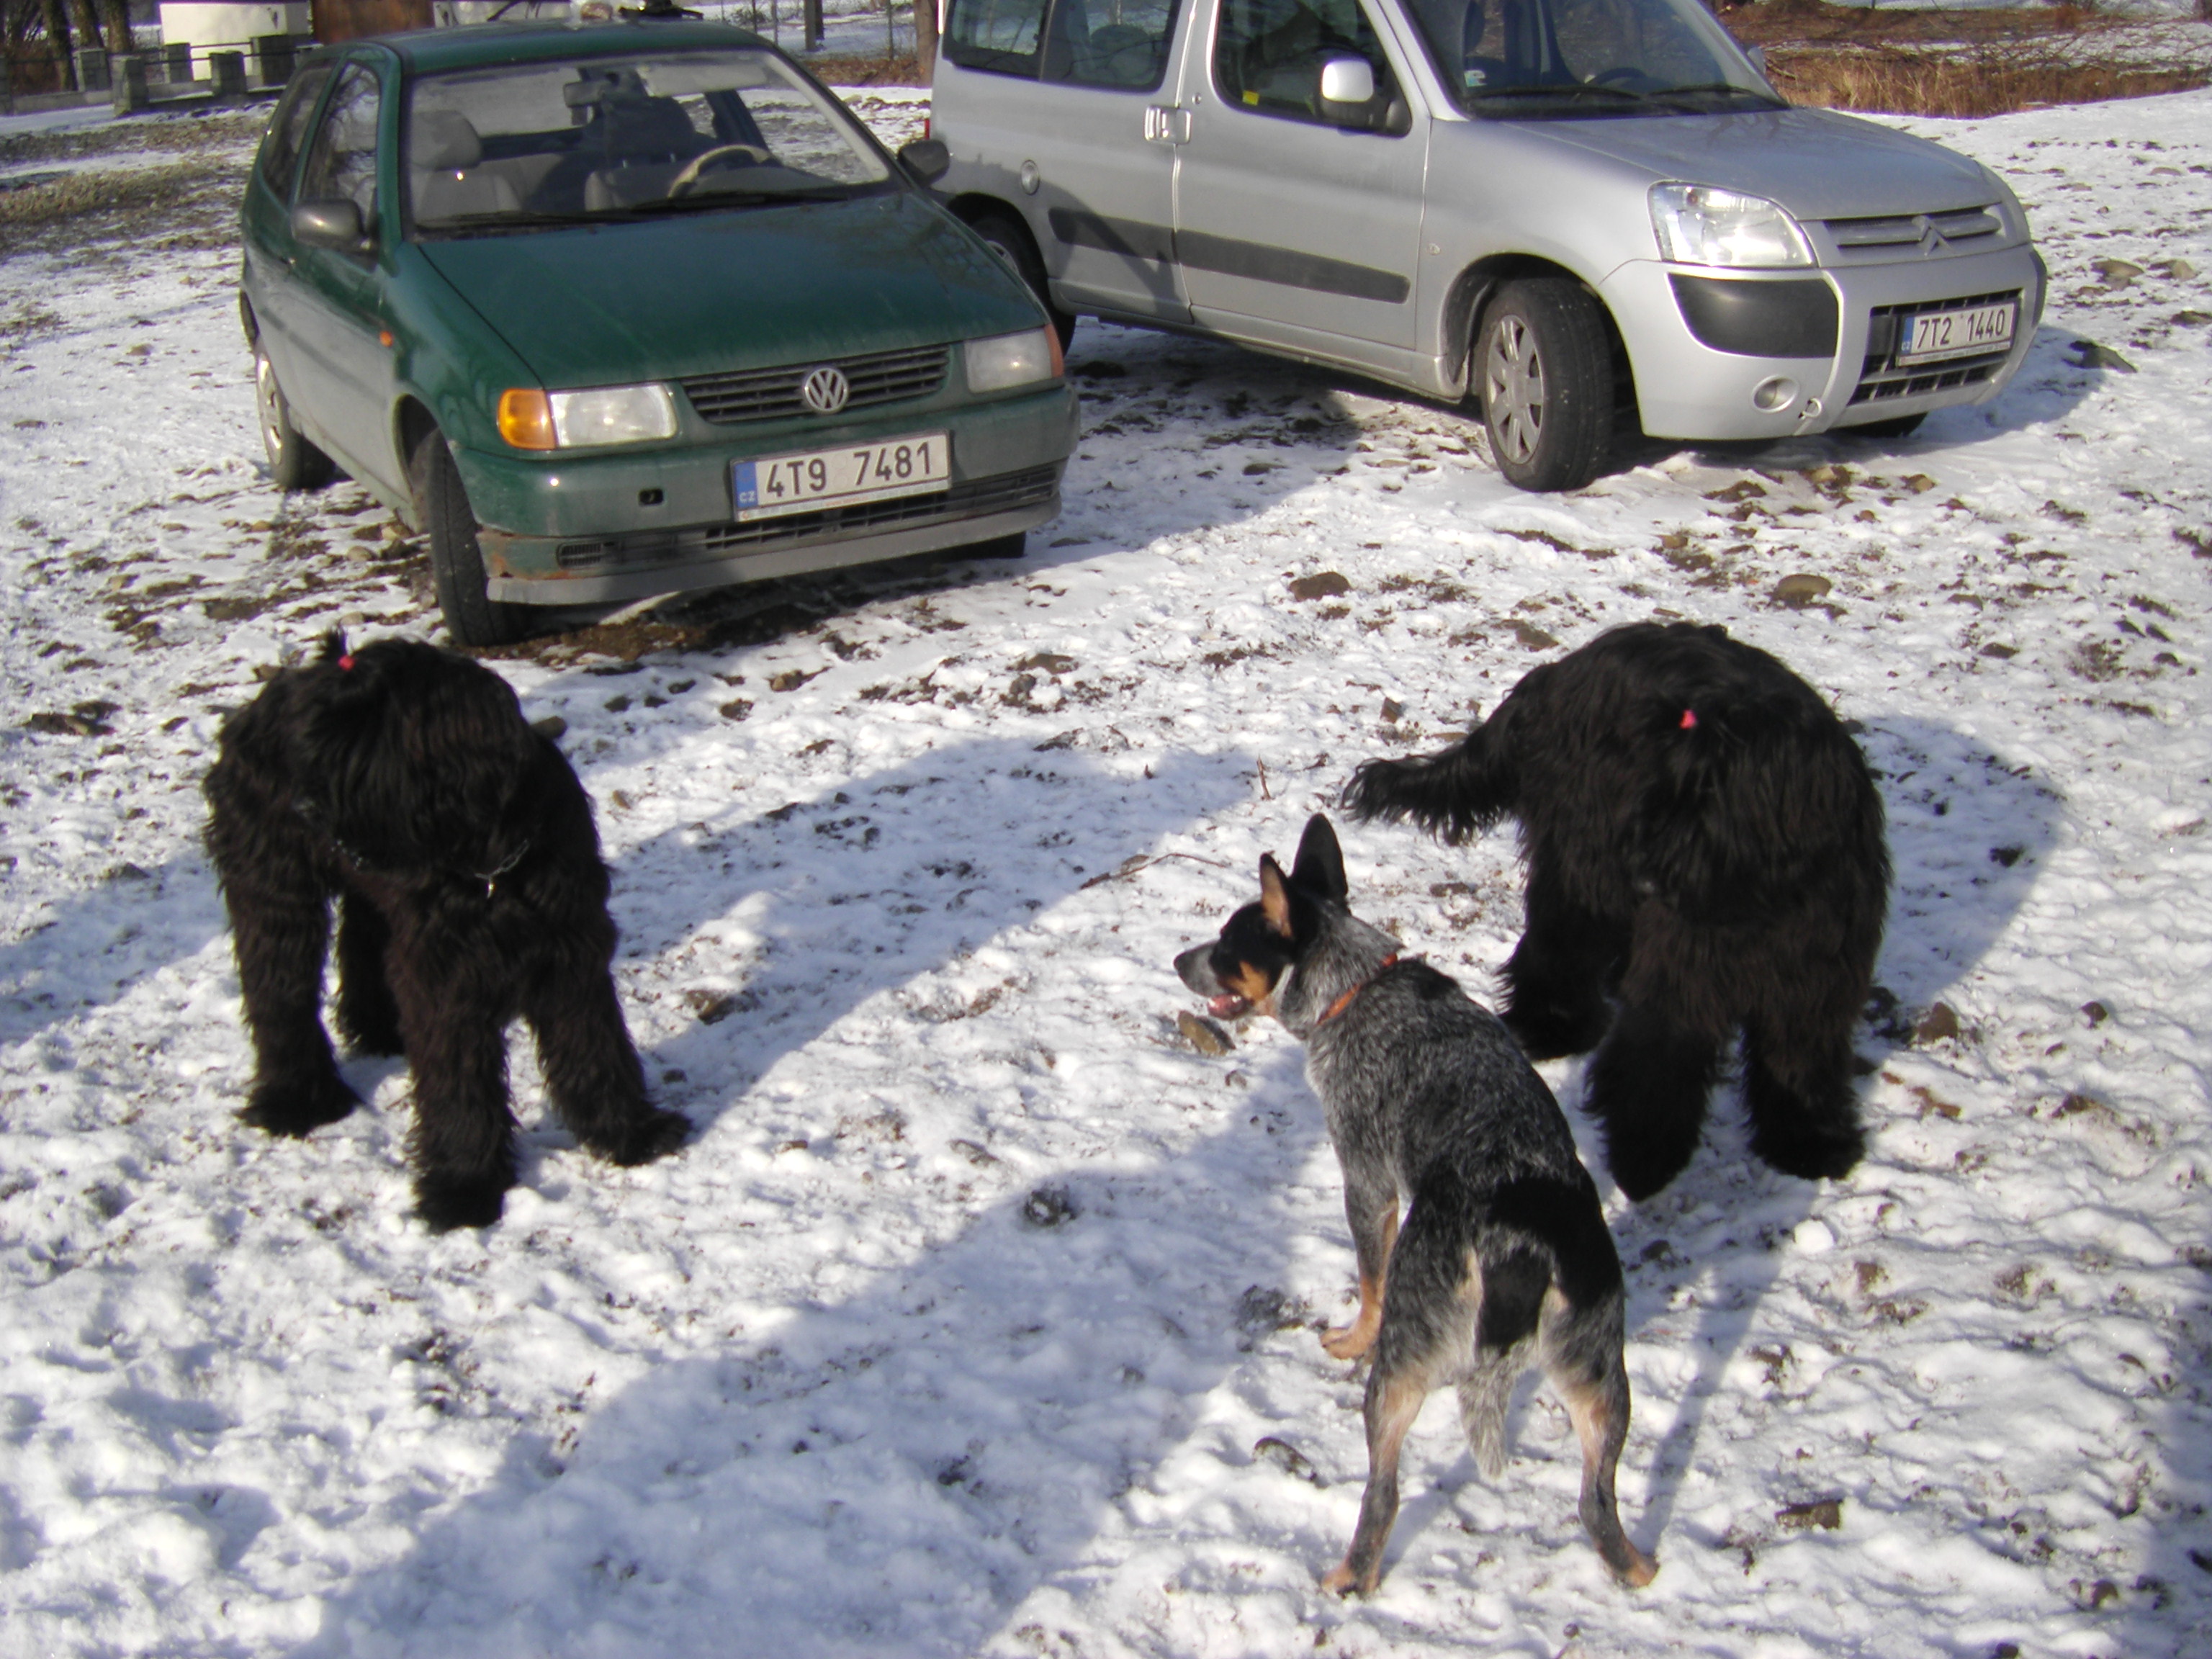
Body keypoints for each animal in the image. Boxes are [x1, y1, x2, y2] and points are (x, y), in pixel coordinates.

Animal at [209, 637, 690, 1238]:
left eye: (366, 739)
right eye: (318, 739)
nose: (306, 808)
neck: (491, 859)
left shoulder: (571, 950)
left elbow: (594, 1044)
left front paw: (629, 1132)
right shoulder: (447, 978)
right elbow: (459, 1083)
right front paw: (463, 1188)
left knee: (362, 939)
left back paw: (378, 1031)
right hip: (274, 888)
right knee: (278, 985)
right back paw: (295, 1099)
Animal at [1185, 818, 1654, 1601]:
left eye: (1225, 947)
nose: (1177, 959)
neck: (1355, 987)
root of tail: (1523, 1250)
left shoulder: (1368, 1181)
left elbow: (1370, 1280)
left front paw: (1351, 1336)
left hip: (1404, 1369)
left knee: (1384, 1493)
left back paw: (1349, 1575)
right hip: (1600, 1374)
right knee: (1599, 1505)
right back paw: (1636, 1566)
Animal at [1336, 619, 1893, 1203]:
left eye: (1711, 800)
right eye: (1662, 790)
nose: (1647, 874)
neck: (1757, 893)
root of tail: (1559, 671)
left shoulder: (1817, 969)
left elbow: (1801, 1055)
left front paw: (1811, 1145)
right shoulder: (1683, 960)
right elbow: (1662, 1049)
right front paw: (1644, 1161)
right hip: (1583, 858)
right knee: (1560, 946)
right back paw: (1553, 1025)